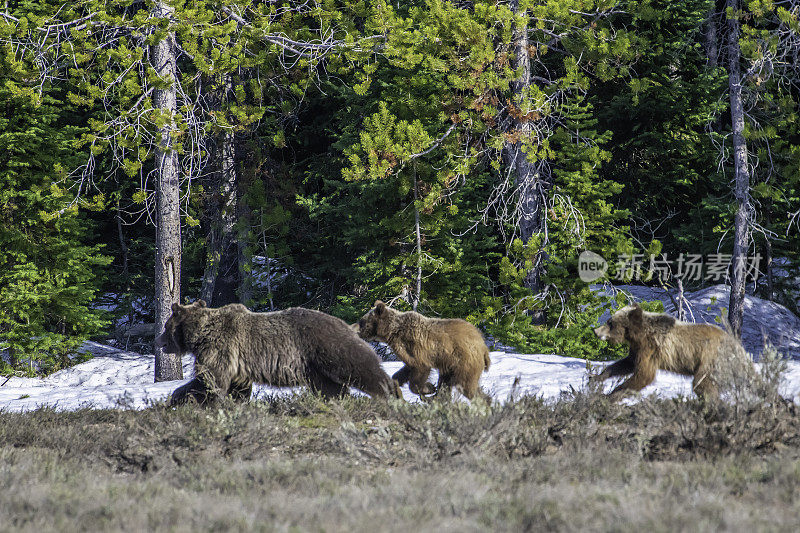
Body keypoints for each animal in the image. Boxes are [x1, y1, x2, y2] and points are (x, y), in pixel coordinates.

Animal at [157, 298, 404, 406]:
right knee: (330, 387)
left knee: (361, 367)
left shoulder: (219, 348)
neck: (200, 333)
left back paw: (391, 394)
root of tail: (346, 324)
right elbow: (236, 387)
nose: (157, 340)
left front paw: (180, 397)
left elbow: (210, 379)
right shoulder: (238, 364)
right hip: (316, 367)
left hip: (331, 346)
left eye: (166, 326)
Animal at [356, 300, 488, 400]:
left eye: (362, 322)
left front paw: (428, 388)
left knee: (465, 385)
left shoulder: (415, 346)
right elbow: (406, 369)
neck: (393, 332)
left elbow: (420, 368)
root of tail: (482, 344)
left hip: (464, 361)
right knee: (447, 383)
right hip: (451, 365)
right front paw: (396, 383)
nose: (358, 332)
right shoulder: (405, 351)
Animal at [592, 304, 752, 400]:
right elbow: (627, 364)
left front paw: (612, 394)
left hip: (711, 358)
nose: (595, 331)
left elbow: (644, 375)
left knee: (702, 384)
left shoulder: (651, 349)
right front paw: (597, 376)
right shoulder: (637, 349)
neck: (638, 335)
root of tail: (739, 347)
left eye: (610, 323)